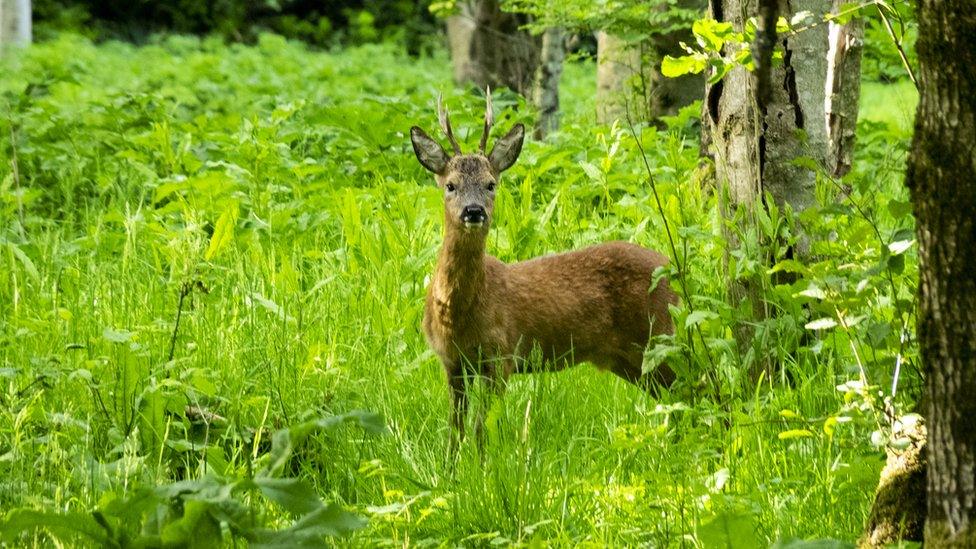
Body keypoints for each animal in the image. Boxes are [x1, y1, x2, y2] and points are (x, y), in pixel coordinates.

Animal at [410, 92, 680, 448]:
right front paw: (451, 464)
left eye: (491, 184)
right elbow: (455, 430)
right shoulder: (451, 362)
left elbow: (482, 428)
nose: (474, 211)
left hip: (661, 334)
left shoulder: (502, 354)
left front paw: (483, 462)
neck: (457, 315)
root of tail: (673, 271)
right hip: (632, 359)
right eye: (450, 185)